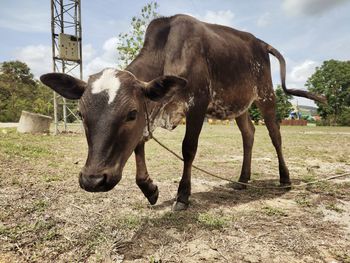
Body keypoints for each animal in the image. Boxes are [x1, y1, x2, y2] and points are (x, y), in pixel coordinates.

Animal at [41, 14, 326, 212]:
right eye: (81, 114)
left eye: (131, 114)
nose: (93, 180)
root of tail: (261, 42)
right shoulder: (151, 111)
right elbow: (138, 144)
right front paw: (149, 189)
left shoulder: (197, 105)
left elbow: (188, 149)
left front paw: (183, 195)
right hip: (240, 105)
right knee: (249, 133)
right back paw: (242, 179)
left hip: (266, 95)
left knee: (275, 135)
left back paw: (285, 178)